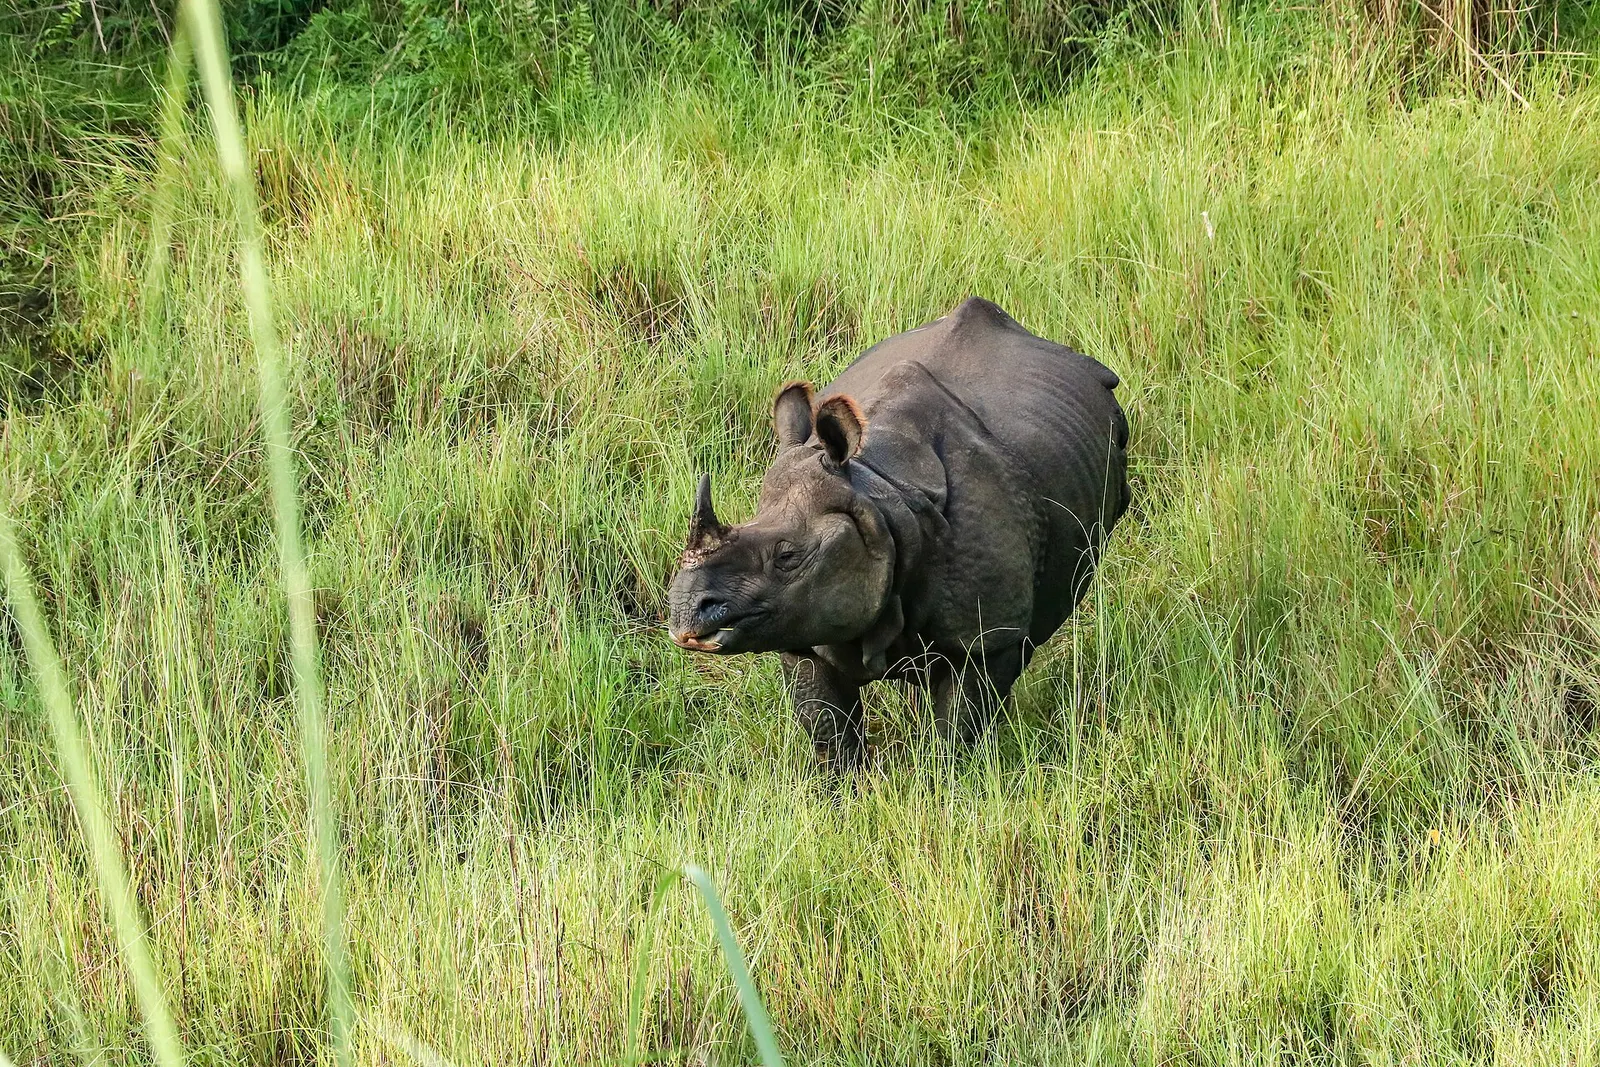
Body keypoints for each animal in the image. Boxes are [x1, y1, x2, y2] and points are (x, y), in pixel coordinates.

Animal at [667, 296, 1129, 769]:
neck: (880, 494)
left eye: (787, 557)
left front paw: (947, 779)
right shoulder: (801, 627)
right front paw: (843, 785)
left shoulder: (990, 638)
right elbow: (828, 728)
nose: (685, 611)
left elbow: (959, 728)